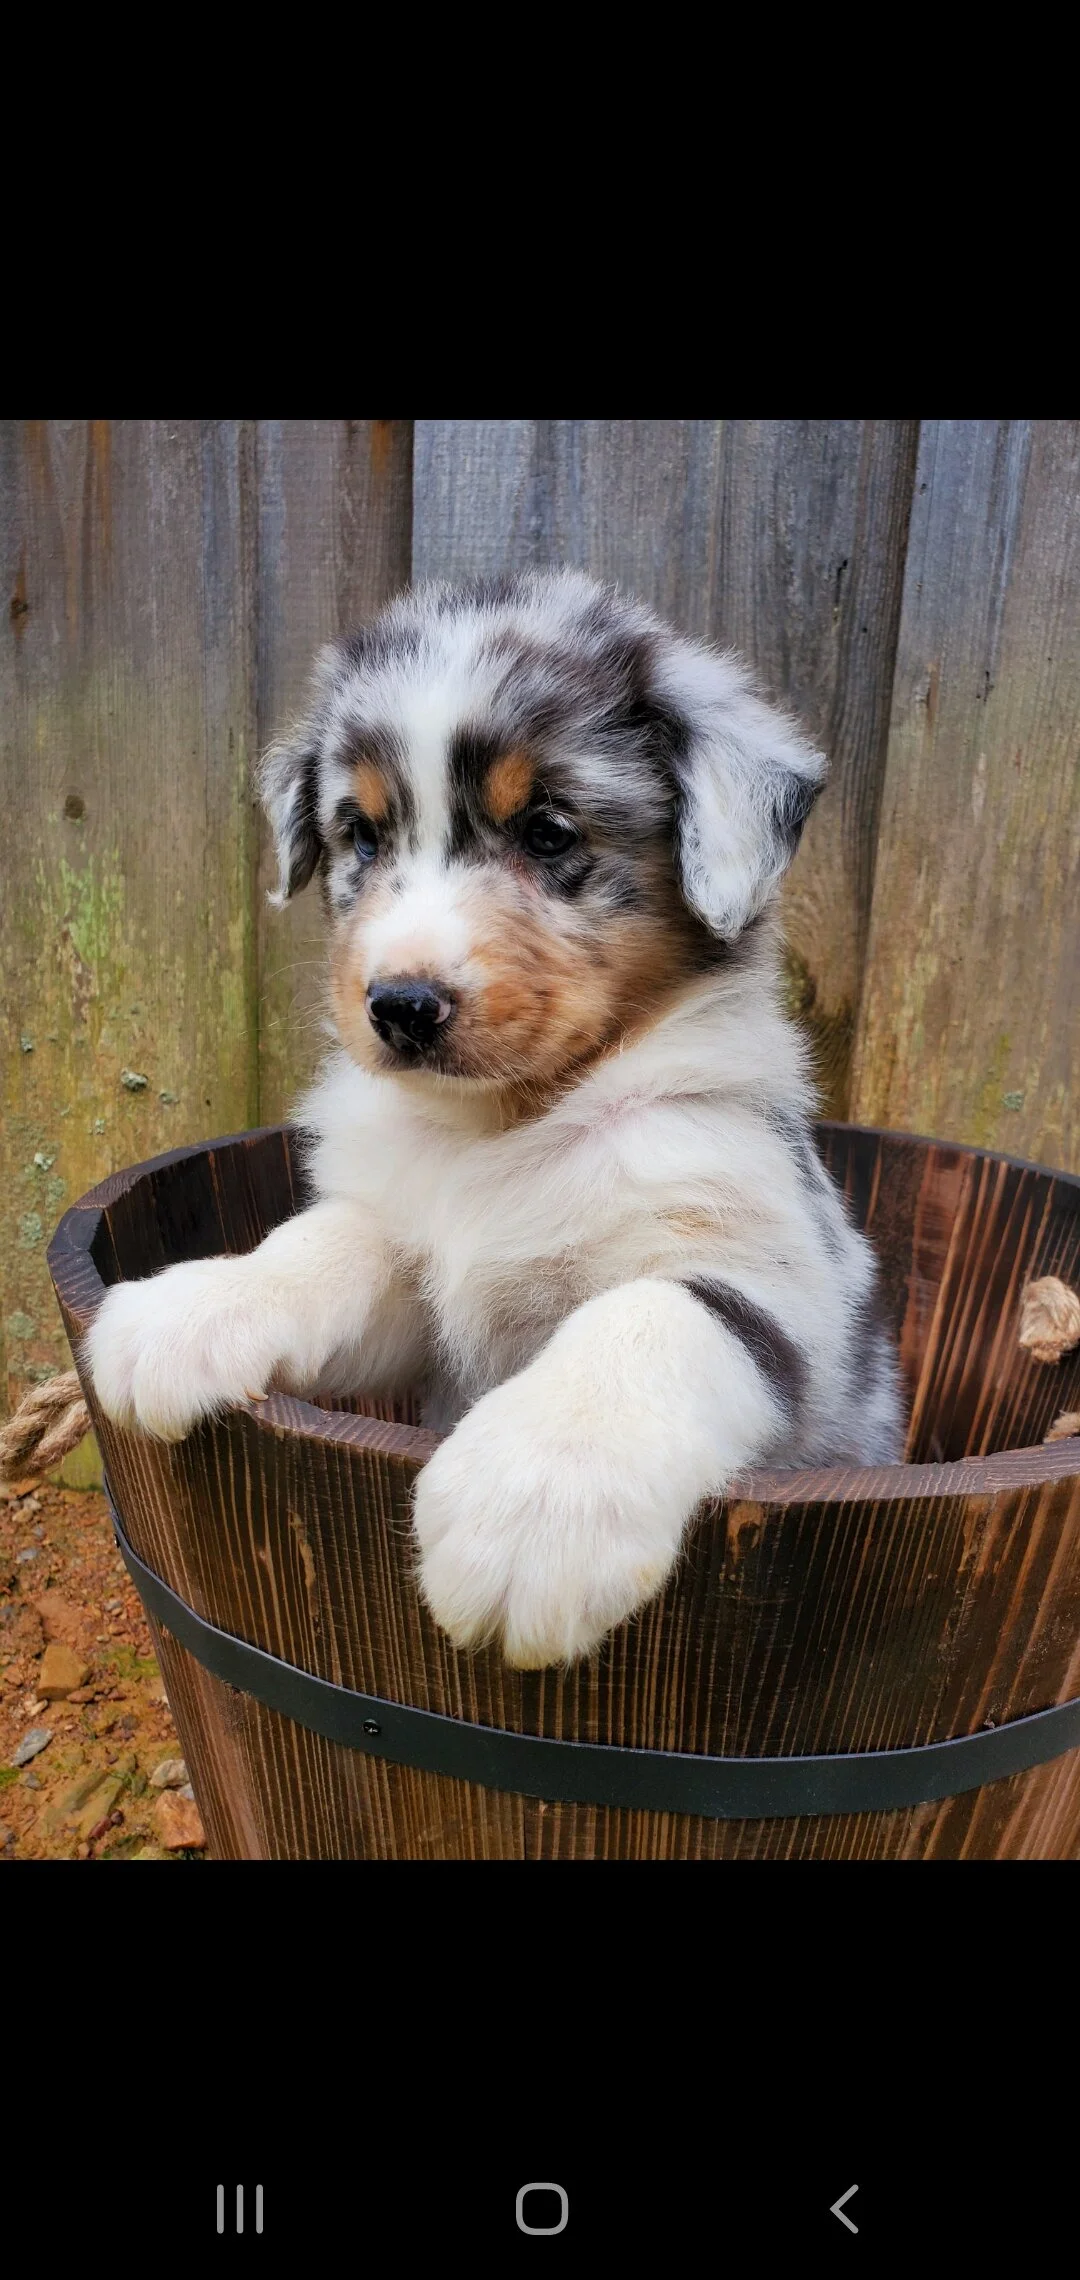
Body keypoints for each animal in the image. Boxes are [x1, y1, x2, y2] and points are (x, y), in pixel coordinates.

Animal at [84, 570, 906, 1668]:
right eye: (362, 835)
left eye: (548, 833)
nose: (400, 1005)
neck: (503, 1131)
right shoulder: (417, 1291)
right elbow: (329, 1242)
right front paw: (199, 1305)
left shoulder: (775, 1284)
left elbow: (652, 1312)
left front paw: (539, 1495)